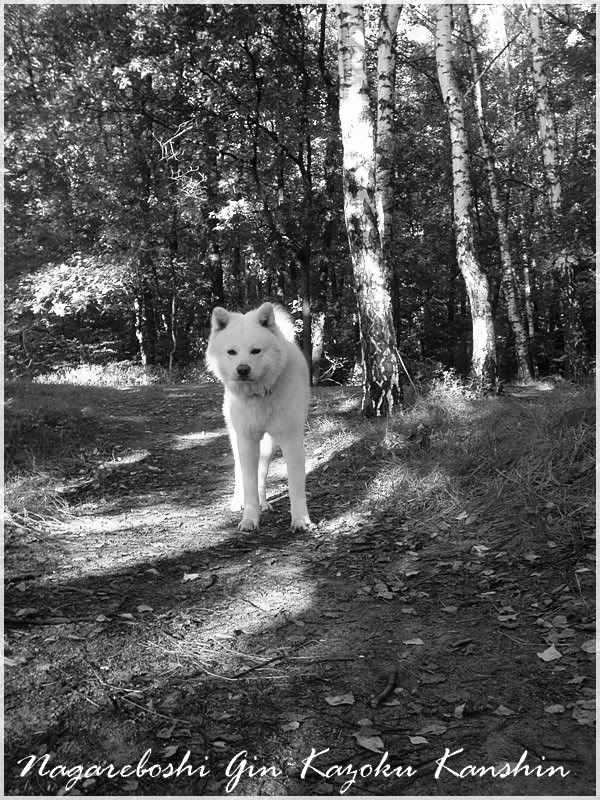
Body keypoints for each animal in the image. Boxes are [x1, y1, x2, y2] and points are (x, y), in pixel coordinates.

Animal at [206, 302, 311, 532]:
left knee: (261, 476)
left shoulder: (291, 440)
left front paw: (300, 520)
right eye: (232, 352)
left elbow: (295, 486)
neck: (260, 395)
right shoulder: (246, 441)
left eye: (256, 351)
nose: (243, 369)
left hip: (268, 447)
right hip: (238, 441)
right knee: (240, 473)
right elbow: (249, 485)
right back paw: (238, 502)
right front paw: (249, 519)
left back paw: (264, 503)